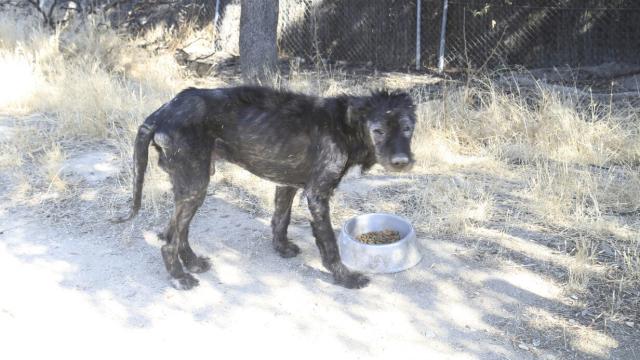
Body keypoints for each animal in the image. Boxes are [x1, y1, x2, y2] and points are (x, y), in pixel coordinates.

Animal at [114, 86, 416, 290]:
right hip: (194, 185)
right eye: (378, 131)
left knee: (175, 231)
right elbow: (329, 243)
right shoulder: (317, 195)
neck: (345, 125)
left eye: (407, 128)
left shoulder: (287, 185)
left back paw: (193, 263)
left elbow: (280, 219)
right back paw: (179, 277)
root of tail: (162, 112)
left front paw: (281, 249)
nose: (402, 162)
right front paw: (345, 277)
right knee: (170, 240)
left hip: (191, 185)